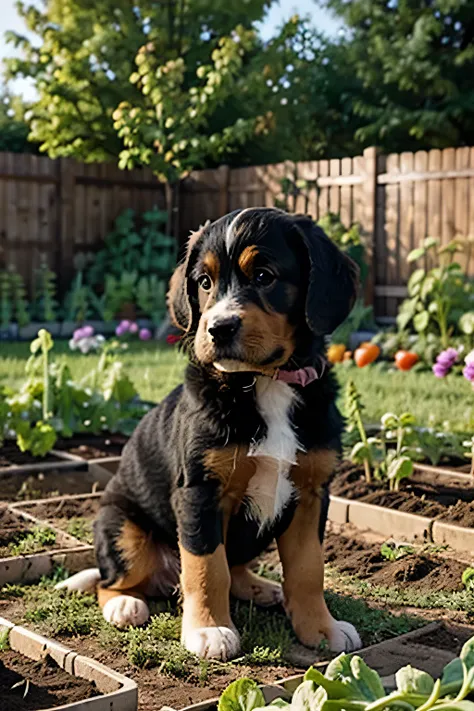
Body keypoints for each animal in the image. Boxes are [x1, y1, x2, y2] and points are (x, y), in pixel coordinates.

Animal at [60, 206, 362, 660]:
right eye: (204, 282)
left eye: (264, 276)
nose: (218, 328)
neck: (264, 382)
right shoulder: (200, 492)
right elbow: (206, 566)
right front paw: (209, 630)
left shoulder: (311, 493)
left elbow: (308, 569)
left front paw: (321, 628)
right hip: (120, 524)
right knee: (110, 579)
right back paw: (124, 604)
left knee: (236, 566)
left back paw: (260, 587)